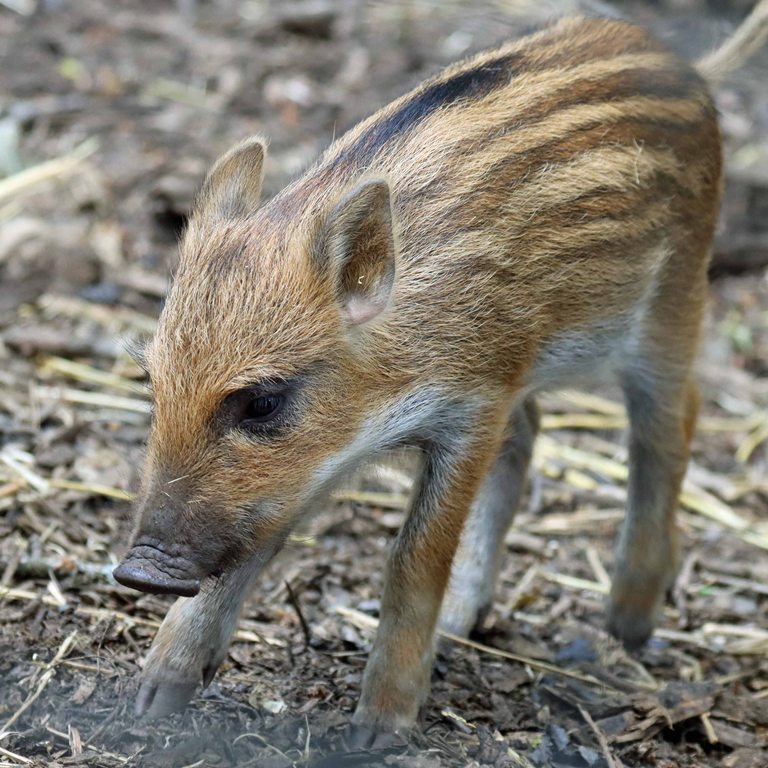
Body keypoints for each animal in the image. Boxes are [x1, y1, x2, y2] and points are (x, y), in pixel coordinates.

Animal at [114, 7, 768, 739]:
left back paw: (624, 627)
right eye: (153, 384)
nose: (139, 569)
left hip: (674, 302)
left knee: (670, 425)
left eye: (262, 403)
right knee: (532, 431)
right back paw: (462, 624)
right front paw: (153, 695)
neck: (395, 360)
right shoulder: (304, 470)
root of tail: (688, 67)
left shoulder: (472, 406)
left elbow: (412, 556)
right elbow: (252, 545)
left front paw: (379, 730)